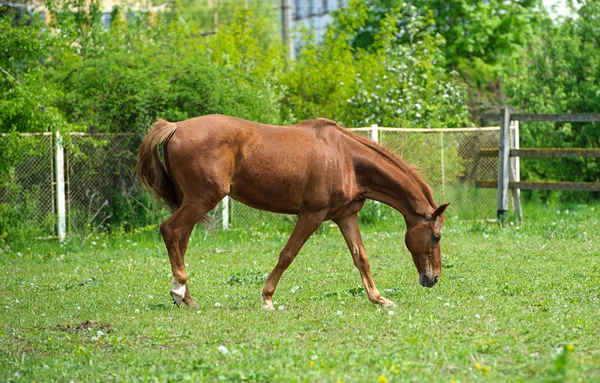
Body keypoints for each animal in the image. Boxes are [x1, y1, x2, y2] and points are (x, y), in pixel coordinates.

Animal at [138, 115, 448, 310]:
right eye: (436, 236)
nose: (433, 279)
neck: (347, 159)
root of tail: (175, 127)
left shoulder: (345, 216)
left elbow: (361, 258)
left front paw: (379, 299)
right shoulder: (312, 215)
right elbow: (287, 255)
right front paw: (267, 298)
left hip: (192, 201)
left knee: (180, 241)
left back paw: (186, 299)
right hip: (202, 199)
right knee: (170, 231)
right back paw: (179, 289)